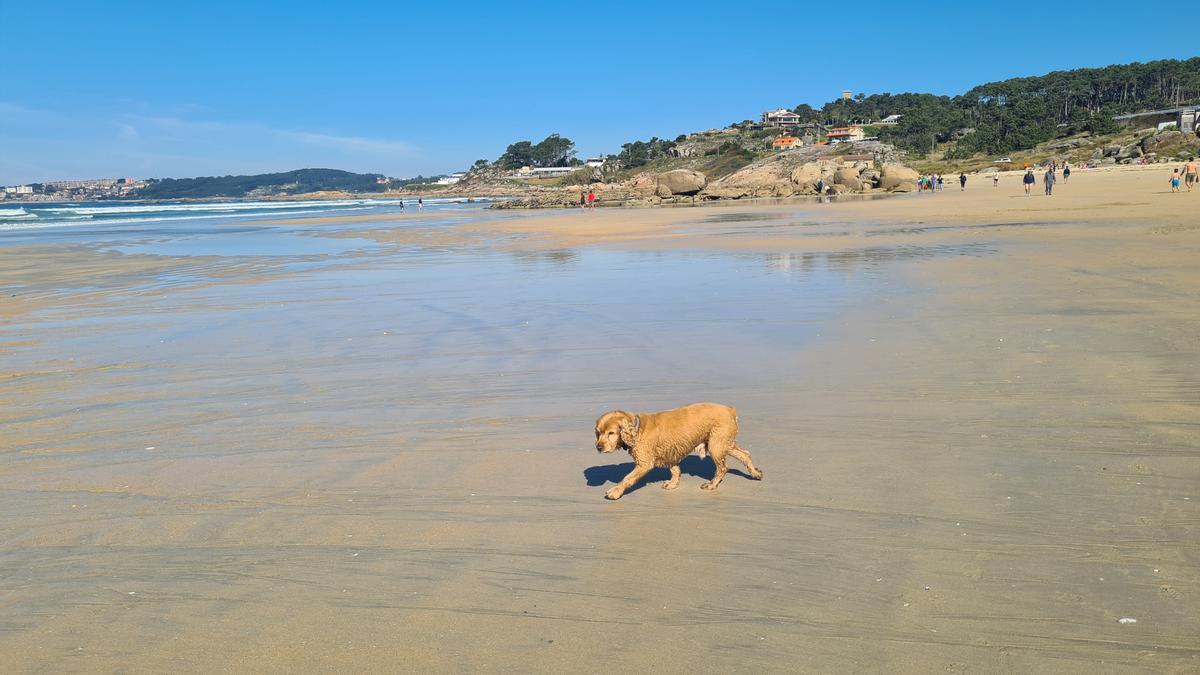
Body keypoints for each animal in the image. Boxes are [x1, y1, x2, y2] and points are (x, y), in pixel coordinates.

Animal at [595, 398, 763, 499]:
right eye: (598, 432)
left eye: (611, 433)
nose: (598, 447)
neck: (637, 429)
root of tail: (730, 409)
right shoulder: (670, 454)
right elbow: (675, 470)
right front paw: (672, 484)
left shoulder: (644, 463)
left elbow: (627, 478)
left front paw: (615, 491)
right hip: (724, 443)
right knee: (745, 454)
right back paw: (756, 473)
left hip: (716, 445)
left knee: (723, 467)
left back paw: (711, 484)